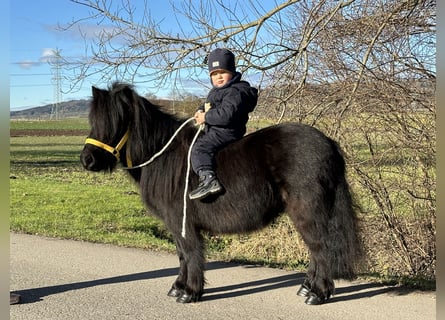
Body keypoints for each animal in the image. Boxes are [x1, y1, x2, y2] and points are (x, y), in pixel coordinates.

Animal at [81, 82, 362, 304]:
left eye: (117, 122)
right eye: (93, 121)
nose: (87, 160)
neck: (163, 157)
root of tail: (329, 143)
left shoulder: (182, 222)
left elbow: (190, 253)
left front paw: (190, 292)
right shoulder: (176, 224)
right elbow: (181, 255)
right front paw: (179, 288)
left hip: (308, 209)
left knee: (321, 248)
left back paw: (317, 293)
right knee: (316, 249)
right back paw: (306, 288)